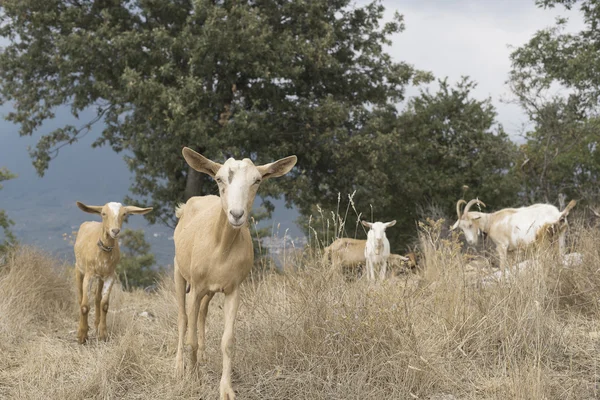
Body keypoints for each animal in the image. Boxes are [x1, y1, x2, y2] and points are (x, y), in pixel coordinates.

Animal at [73, 200, 152, 344]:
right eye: (104, 213)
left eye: (124, 214)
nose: (115, 231)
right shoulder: (89, 274)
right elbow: (85, 305)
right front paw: (82, 335)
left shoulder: (110, 275)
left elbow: (104, 304)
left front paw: (103, 334)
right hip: (79, 269)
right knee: (81, 298)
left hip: (100, 277)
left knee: (97, 298)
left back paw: (96, 325)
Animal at [172, 147, 296, 400]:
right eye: (219, 179)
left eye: (257, 180)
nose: (236, 214)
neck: (220, 246)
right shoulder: (196, 286)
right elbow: (190, 335)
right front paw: (193, 379)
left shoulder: (233, 289)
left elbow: (228, 341)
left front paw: (226, 389)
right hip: (178, 270)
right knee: (183, 318)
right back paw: (179, 366)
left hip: (210, 290)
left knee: (202, 313)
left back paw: (203, 356)